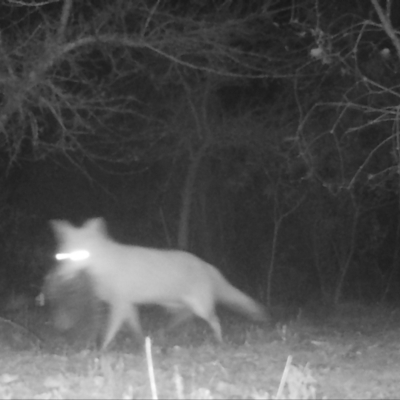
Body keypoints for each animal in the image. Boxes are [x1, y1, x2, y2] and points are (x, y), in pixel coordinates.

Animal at [45, 217, 268, 352]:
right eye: (63, 256)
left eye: (81, 255)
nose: (61, 275)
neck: (106, 267)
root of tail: (206, 264)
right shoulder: (127, 305)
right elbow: (135, 328)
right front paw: (140, 344)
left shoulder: (120, 304)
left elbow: (109, 331)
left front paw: (101, 350)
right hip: (176, 305)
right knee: (184, 317)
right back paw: (167, 333)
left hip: (199, 306)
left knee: (214, 320)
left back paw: (218, 341)